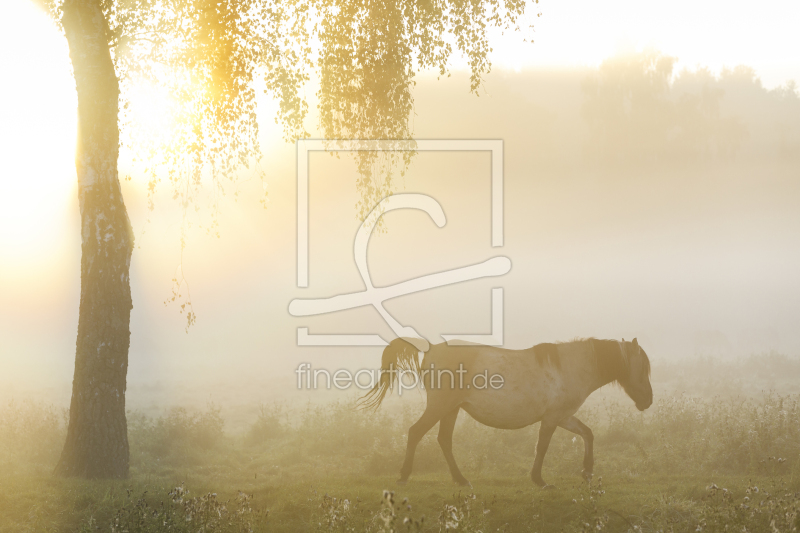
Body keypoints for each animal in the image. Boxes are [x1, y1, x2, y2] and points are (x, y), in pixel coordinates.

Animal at [360, 336, 652, 486]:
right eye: (643, 367)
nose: (648, 400)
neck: (571, 366)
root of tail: (431, 348)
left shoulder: (562, 416)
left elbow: (587, 434)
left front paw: (588, 471)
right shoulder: (552, 418)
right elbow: (542, 447)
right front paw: (539, 479)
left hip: (451, 409)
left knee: (443, 440)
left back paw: (460, 479)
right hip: (440, 406)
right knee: (415, 432)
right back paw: (404, 474)